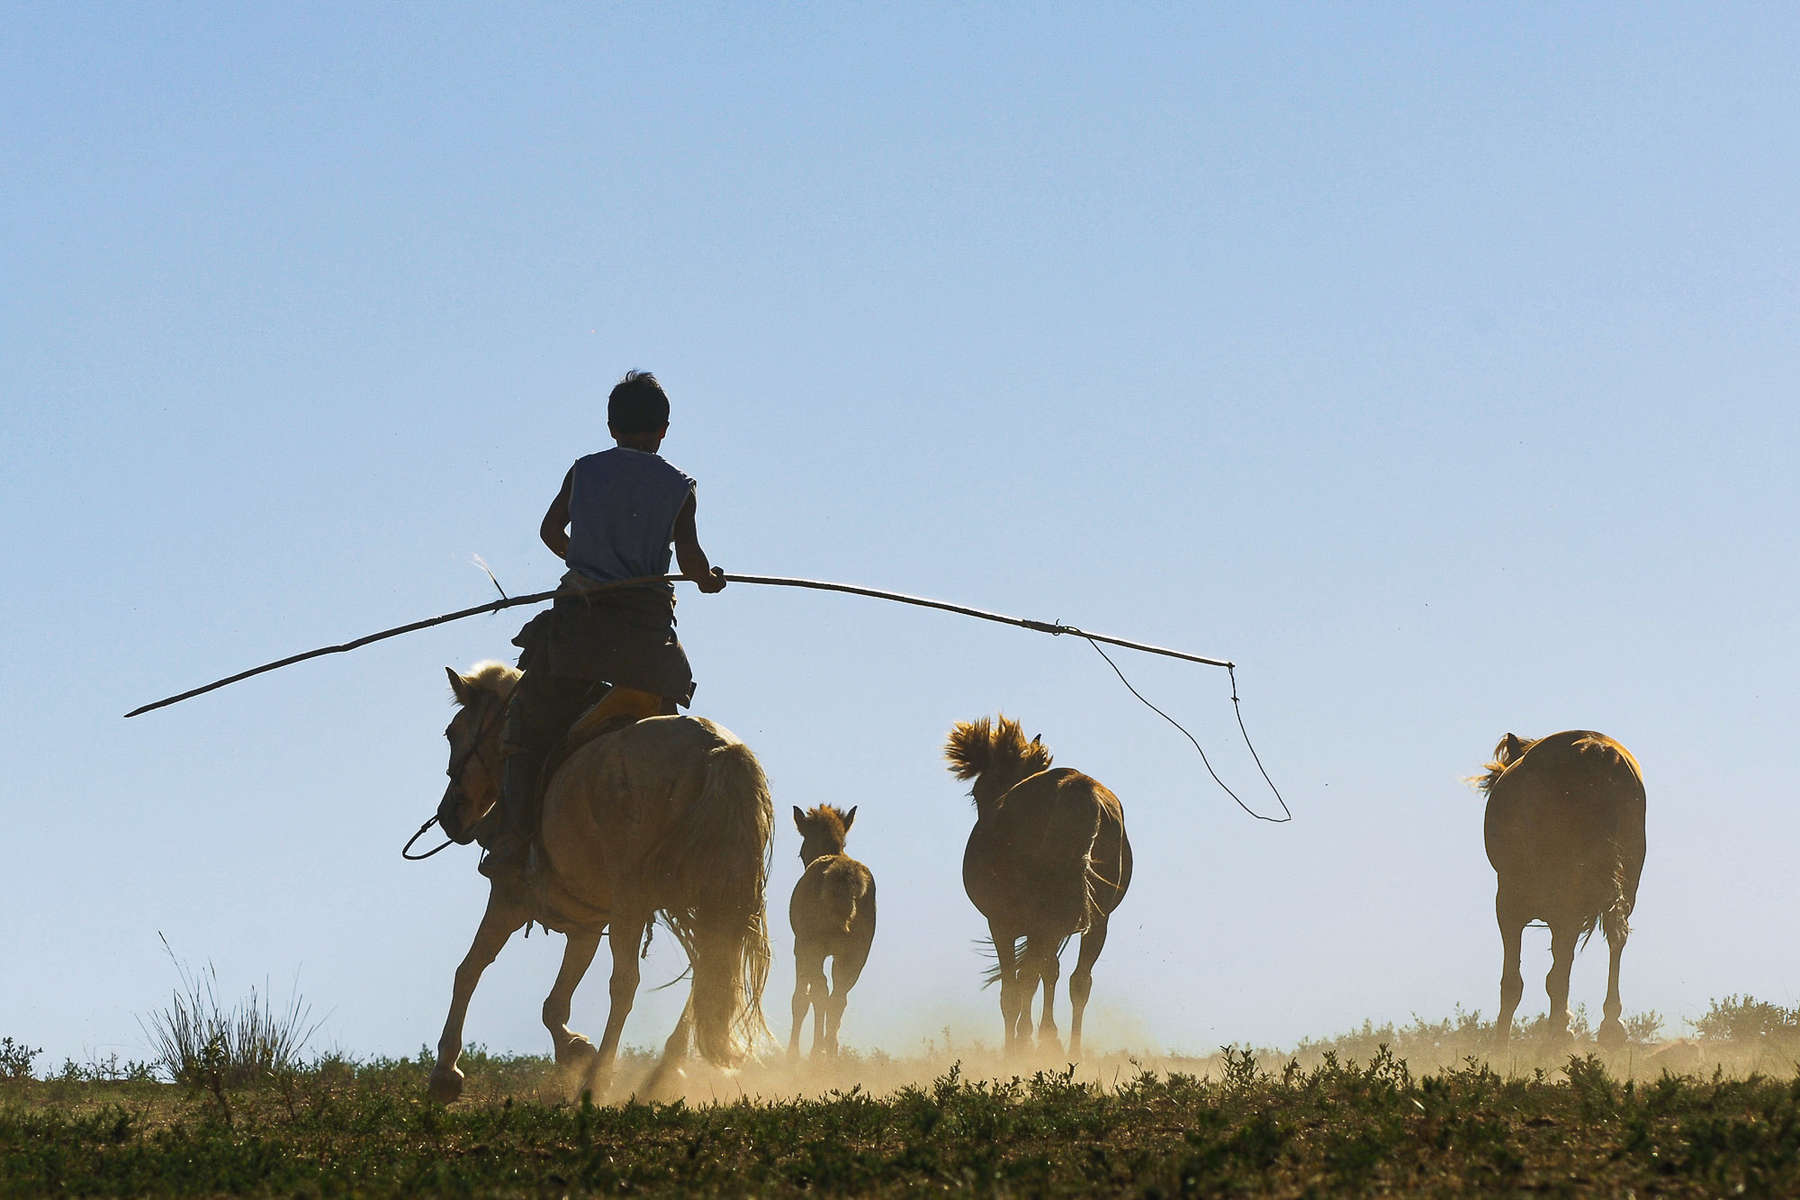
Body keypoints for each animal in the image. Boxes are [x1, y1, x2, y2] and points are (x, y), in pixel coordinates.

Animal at [437, 662, 781, 1101]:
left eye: (452, 732)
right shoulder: (584, 922)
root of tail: (717, 752)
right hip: (713, 901)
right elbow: (554, 1004)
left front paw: (446, 1070)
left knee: (627, 985)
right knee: (709, 971)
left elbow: (469, 970)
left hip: (635, 903)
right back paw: (660, 1073)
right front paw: (574, 1049)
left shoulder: (509, 899)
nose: (449, 815)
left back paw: (598, 1081)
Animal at [784, 805, 874, 1057]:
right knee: (838, 997)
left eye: (801, 851)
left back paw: (817, 1052)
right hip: (856, 954)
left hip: (813, 947)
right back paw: (831, 1051)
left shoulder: (799, 948)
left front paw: (792, 1053)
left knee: (821, 992)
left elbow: (800, 999)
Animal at [950, 719, 1130, 1057]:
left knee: (1026, 980)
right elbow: (1050, 972)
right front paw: (1048, 1037)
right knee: (1079, 981)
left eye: (977, 792)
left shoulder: (1003, 924)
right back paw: (1073, 1051)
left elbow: (1016, 987)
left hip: (1037, 921)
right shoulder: (1055, 927)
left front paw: (1021, 1044)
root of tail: (1077, 789)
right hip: (1095, 921)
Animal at [1476, 726, 1648, 1043]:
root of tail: (1595, 750)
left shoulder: (1508, 906)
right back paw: (1610, 1025)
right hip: (1624, 885)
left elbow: (1514, 982)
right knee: (1616, 939)